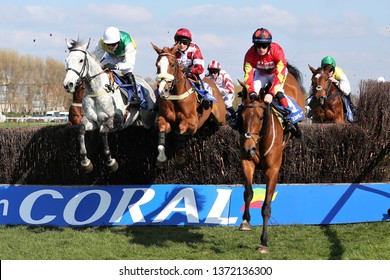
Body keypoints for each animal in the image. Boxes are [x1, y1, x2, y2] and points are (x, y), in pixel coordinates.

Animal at [63, 37, 156, 173]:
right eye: (67, 60)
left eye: (81, 60)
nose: (68, 84)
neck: (97, 90)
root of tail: (148, 86)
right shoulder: (91, 120)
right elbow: (81, 130)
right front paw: (85, 163)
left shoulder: (116, 120)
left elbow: (103, 131)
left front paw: (110, 162)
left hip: (148, 120)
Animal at [239, 66, 306, 254]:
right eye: (242, 115)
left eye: (261, 117)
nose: (248, 148)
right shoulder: (246, 162)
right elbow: (248, 192)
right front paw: (245, 221)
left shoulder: (273, 170)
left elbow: (266, 207)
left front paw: (264, 242)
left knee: (280, 91)